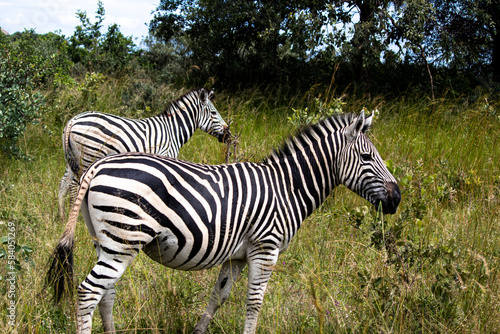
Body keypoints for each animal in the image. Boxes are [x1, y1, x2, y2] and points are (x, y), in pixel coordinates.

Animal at [46, 111, 398, 334]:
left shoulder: (236, 256)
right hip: (123, 239)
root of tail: (99, 166)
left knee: (106, 293)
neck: (286, 188)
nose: (396, 199)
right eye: (367, 158)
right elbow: (254, 303)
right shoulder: (265, 248)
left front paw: (198, 331)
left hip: (108, 241)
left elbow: (218, 297)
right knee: (88, 293)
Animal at [58, 87, 232, 220]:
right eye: (214, 113)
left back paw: (62, 216)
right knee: (74, 186)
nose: (228, 134)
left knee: (63, 184)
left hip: (71, 159)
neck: (173, 131)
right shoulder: (165, 156)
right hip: (88, 156)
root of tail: (72, 121)